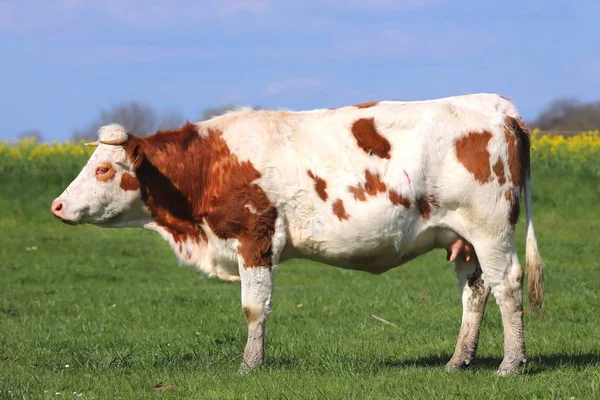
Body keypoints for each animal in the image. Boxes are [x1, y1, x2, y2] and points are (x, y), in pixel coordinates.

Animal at [51, 94, 544, 376]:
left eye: (103, 169)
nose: (57, 205)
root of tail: (497, 108)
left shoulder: (255, 236)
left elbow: (254, 308)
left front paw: (249, 366)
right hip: (462, 240)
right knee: (475, 291)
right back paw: (458, 361)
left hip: (489, 228)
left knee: (507, 285)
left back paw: (511, 364)